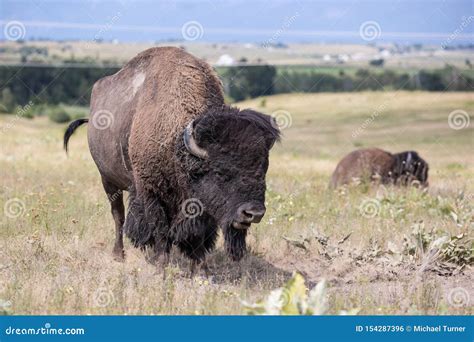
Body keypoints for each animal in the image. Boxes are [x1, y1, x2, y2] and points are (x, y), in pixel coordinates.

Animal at [62, 47, 278, 272]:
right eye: (220, 172)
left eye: (263, 169)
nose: (253, 213)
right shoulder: (151, 192)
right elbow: (159, 227)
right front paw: (161, 264)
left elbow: (198, 235)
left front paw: (200, 266)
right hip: (108, 181)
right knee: (118, 215)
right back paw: (119, 255)